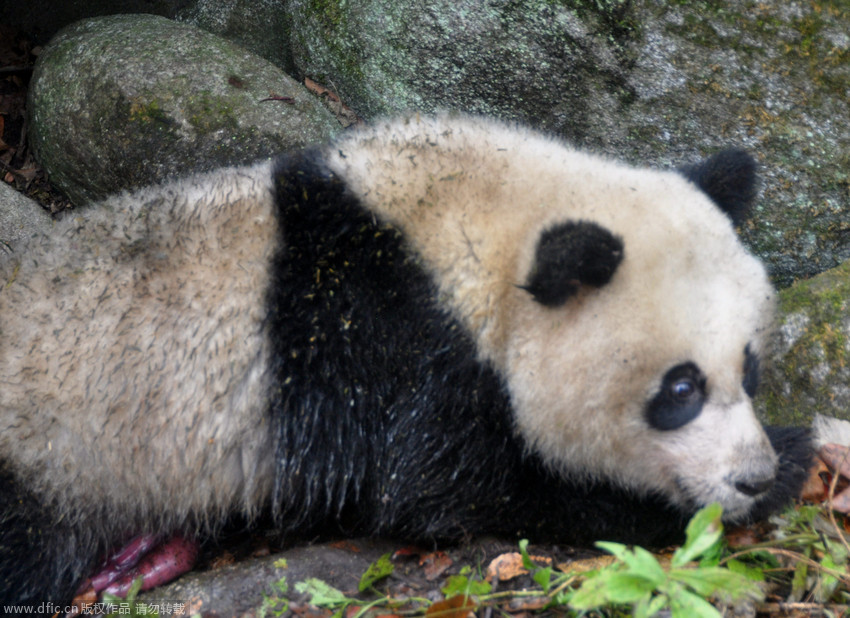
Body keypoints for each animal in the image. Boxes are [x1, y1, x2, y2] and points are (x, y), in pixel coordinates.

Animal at [0, 112, 808, 608]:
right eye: (680, 389)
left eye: (750, 368)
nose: (749, 476)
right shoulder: (395, 348)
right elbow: (434, 490)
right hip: (47, 457)